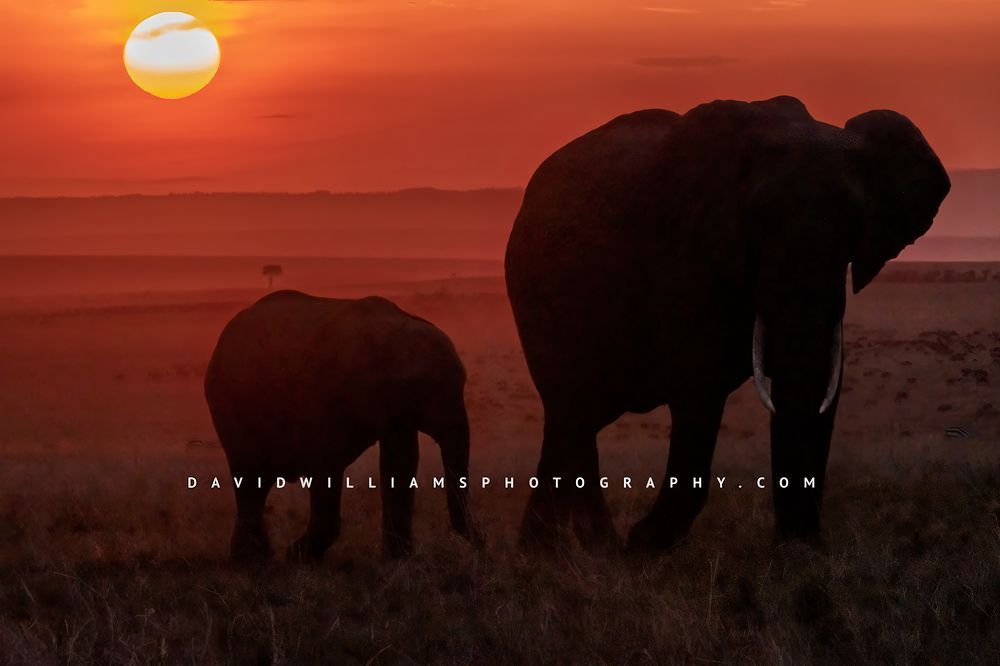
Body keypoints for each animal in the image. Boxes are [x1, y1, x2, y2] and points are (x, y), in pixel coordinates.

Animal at [204, 290, 478, 562]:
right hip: (231, 406)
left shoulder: (393, 412)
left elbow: (400, 462)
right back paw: (251, 559)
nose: (481, 544)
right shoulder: (323, 396)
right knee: (250, 476)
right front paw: (296, 556)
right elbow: (325, 464)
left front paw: (399, 559)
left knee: (258, 482)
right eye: (429, 392)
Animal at [504, 95, 950, 552]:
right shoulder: (687, 253)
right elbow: (698, 387)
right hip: (535, 293)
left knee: (576, 417)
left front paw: (801, 552)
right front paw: (641, 547)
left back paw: (545, 549)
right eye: (758, 219)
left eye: (856, 225)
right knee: (573, 410)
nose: (800, 544)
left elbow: (821, 387)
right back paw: (593, 548)